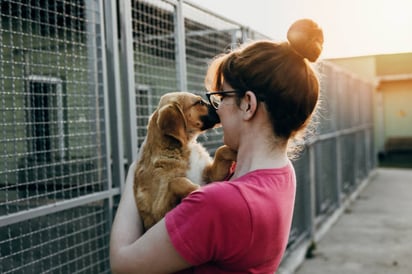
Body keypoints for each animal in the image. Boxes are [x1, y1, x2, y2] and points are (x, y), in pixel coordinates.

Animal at [134, 91, 237, 230]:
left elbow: (221, 150)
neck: (185, 147)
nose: (220, 103)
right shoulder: (157, 212)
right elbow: (176, 181)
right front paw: (195, 189)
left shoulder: (210, 176)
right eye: (199, 102)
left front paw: (236, 151)